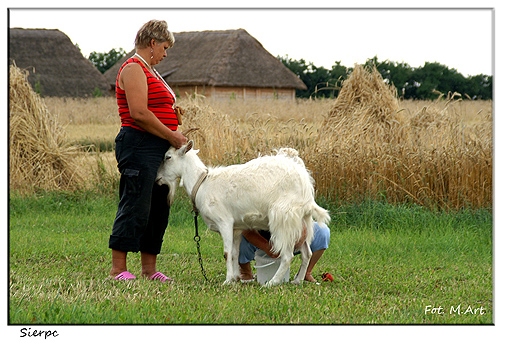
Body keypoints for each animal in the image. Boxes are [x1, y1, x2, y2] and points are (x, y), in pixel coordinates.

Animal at [156, 140, 332, 284]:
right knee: (307, 253)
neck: (203, 184)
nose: (157, 178)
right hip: (301, 222)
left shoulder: (225, 222)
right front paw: (235, 278)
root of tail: (305, 184)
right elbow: (235, 253)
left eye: (168, 157)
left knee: (287, 255)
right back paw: (298, 281)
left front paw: (227, 281)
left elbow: (226, 253)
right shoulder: (236, 229)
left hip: (283, 218)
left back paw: (272, 283)